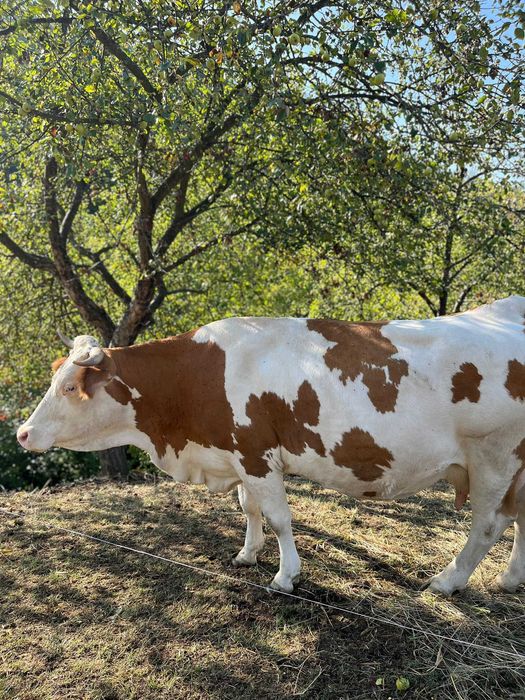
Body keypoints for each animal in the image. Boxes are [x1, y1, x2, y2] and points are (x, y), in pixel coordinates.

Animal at [16, 295, 525, 595]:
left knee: (488, 525)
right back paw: (509, 579)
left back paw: (447, 581)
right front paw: (247, 553)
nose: (22, 433)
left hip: (494, 456)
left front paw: (285, 575)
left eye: (69, 388)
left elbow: (279, 516)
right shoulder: (236, 454)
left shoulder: (256, 452)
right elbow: (249, 507)